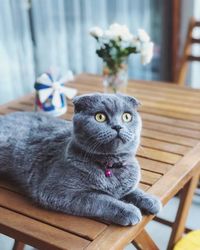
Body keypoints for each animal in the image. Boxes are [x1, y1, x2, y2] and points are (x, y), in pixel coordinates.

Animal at [0, 93, 162, 226]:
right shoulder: (57, 191)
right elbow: (102, 199)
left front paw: (150, 200)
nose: (118, 126)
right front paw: (129, 211)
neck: (109, 166)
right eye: (100, 117)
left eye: (127, 116)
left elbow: (133, 190)